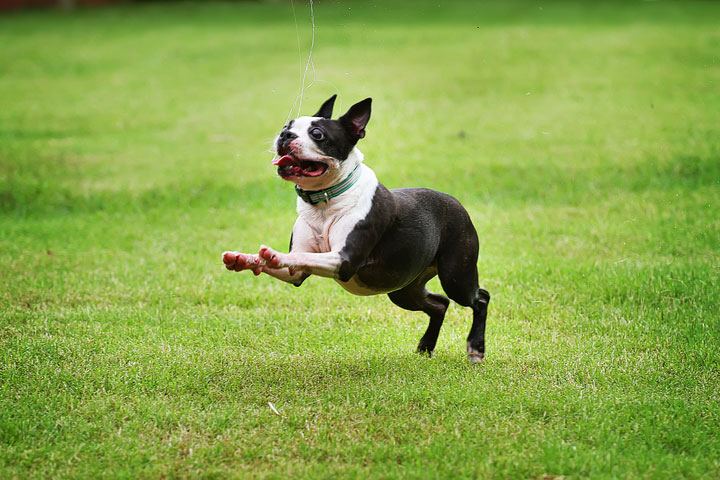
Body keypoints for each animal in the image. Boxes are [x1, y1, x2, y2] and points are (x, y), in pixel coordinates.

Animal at [221, 95, 490, 362]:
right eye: (287, 126)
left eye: (317, 134)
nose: (285, 135)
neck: (324, 202)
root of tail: (456, 202)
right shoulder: (295, 274)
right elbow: (292, 260)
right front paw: (243, 259)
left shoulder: (344, 260)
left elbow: (301, 256)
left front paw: (274, 255)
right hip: (403, 288)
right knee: (440, 304)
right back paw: (426, 346)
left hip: (455, 277)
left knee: (480, 298)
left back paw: (476, 348)